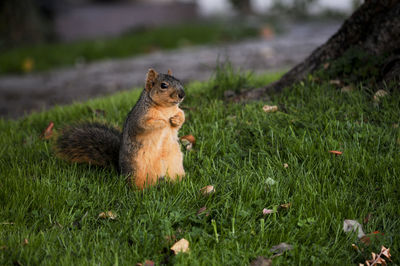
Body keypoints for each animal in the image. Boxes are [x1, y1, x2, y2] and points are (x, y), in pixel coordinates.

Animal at [55, 68, 186, 189]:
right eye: (163, 85)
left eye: (179, 80)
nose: (182, 95)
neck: (165, 108)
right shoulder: (139, 118)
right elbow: (145, 125)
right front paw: (163, 122)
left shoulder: (177, 110)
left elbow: (182, 116)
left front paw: (175, 120)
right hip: (138, 172)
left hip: (175, 165)